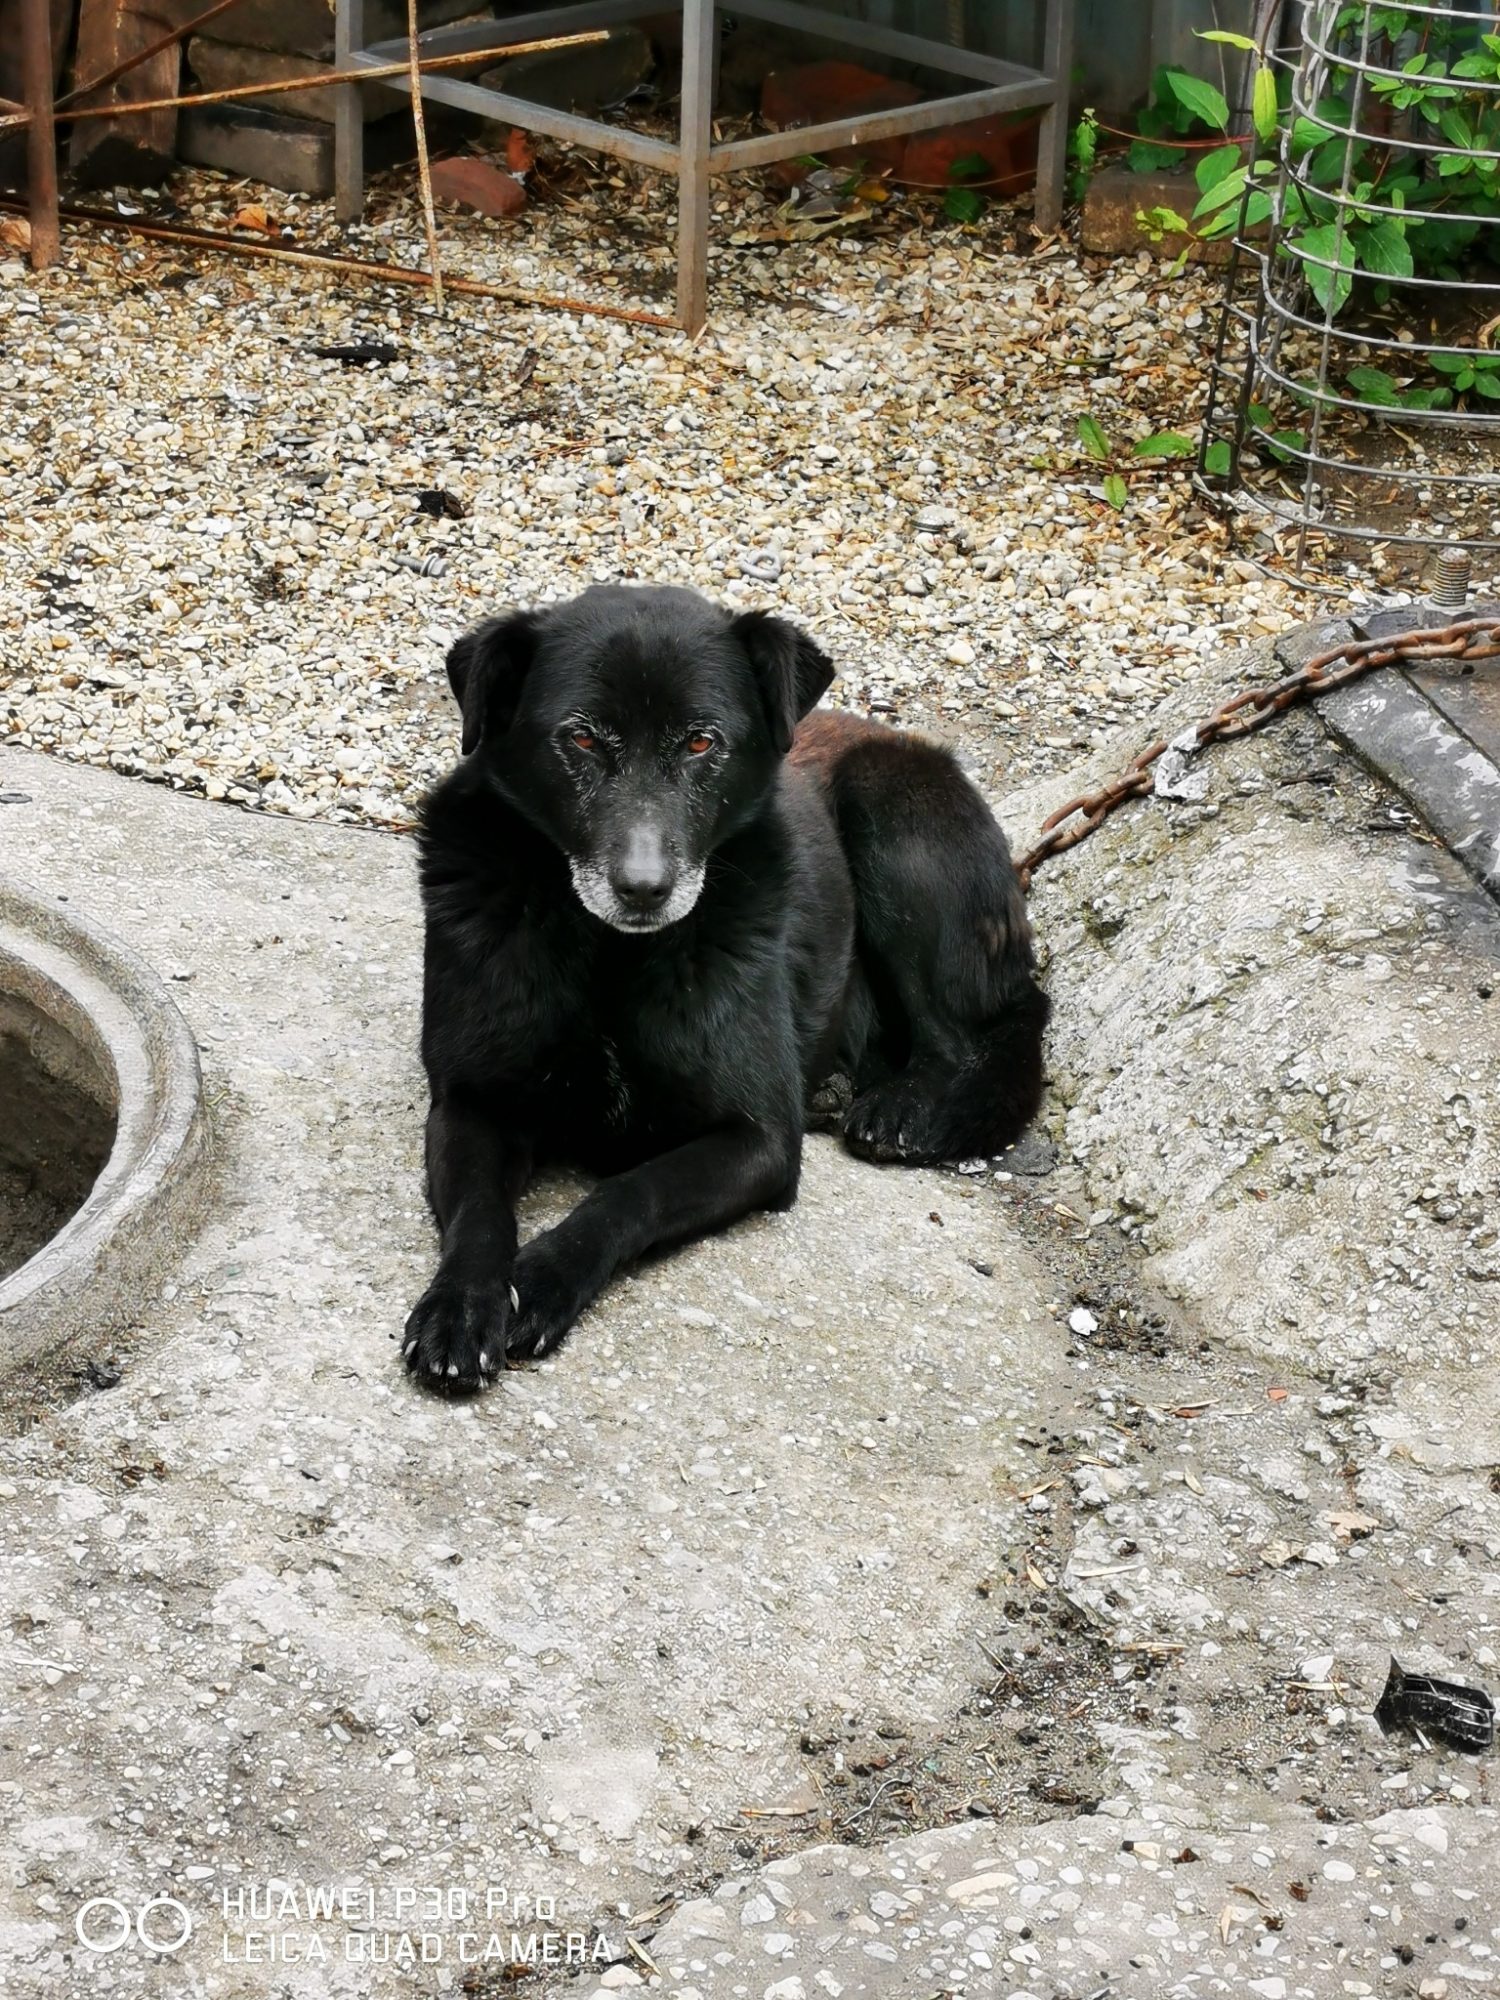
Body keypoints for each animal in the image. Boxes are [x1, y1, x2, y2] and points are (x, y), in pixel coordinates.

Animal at [404, 584, 1048, 1387]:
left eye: (700, 744)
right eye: (580, 740)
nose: (644, 889)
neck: (611, 955)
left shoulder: (759, 1137)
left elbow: (630, 1192)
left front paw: (545, 1279)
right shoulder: (471, 1102)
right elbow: (480, 1216)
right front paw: (462, 1306)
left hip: (890, 809)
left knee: (982, 1032)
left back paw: (904, 1111)